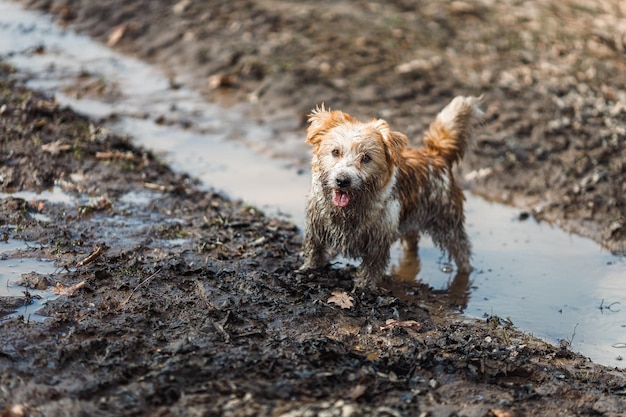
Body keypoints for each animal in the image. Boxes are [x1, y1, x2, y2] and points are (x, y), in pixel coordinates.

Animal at [300, 95, 480, 290]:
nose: (342, 180)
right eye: (335, 151)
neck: (348, 212)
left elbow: (371, 268)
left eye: (366, 157)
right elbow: (314, 252)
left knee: (461, 250)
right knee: (412, 240)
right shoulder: (316, 230)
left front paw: (364, 287)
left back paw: (465, 274)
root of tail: (435, 154)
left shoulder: (377, 243)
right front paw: (309, 269)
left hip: (447, 222)